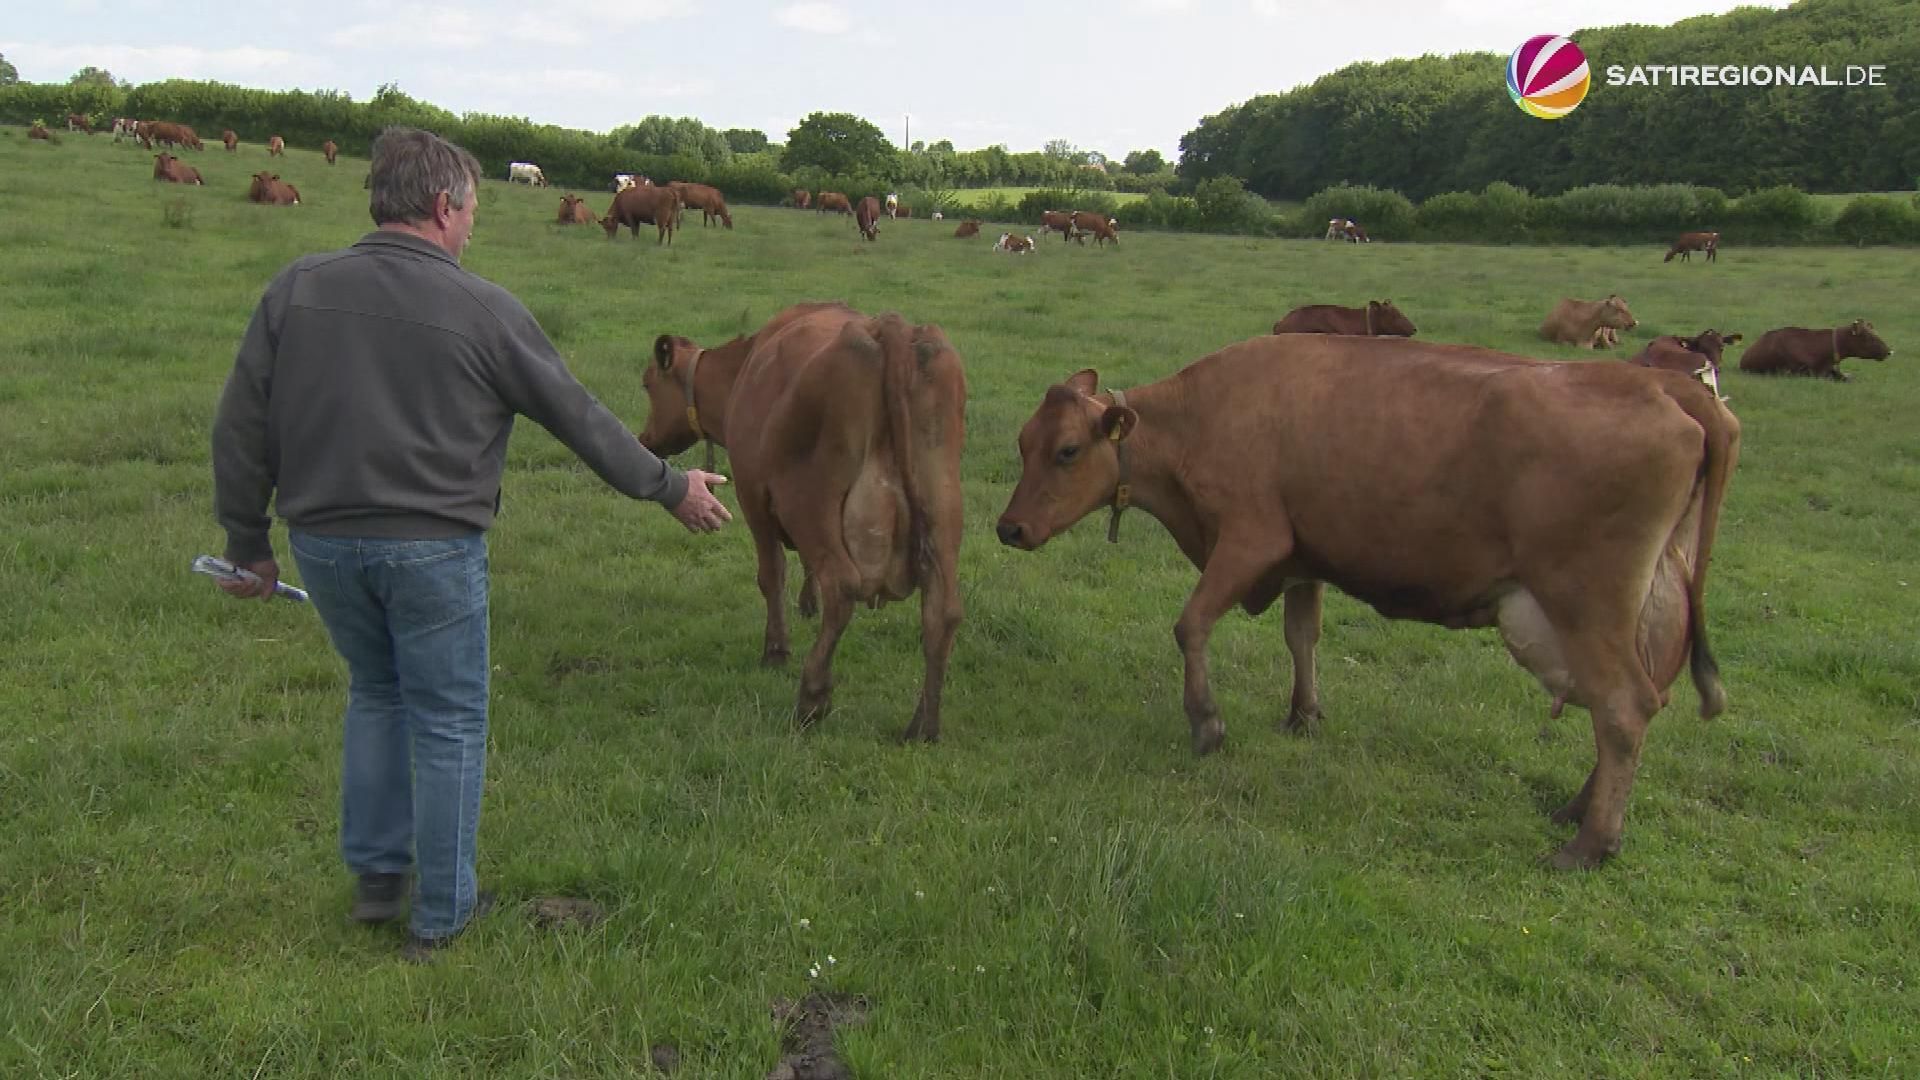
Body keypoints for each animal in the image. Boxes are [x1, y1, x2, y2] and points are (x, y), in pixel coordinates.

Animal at [639, 302, 967, 741]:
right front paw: (807, 604)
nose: (644, 441)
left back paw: (812, 697)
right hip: (942, 508)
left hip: (810, 502)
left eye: (647, 384)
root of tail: (887, 328)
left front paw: (776, 651)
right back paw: (923, 726)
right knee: (942, 609)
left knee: (842, 587)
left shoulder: (754, 495)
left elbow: (771, 574)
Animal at [994, 335, 1741, 869]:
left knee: (1622, 709)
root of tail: (1660, 383)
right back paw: (1580, 808)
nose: (1010, 528)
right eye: (1023, 442)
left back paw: (1590, 844)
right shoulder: (1303, 555)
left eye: (1067, 451)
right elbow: (1302, 636)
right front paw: (1303, 714)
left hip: (1586, 602)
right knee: (1644, 702)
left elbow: (1191, 624)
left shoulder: (1252, 538)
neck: (1199, 418)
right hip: (1649, 604)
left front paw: (1206, 722)